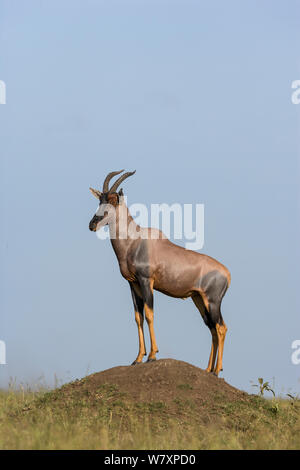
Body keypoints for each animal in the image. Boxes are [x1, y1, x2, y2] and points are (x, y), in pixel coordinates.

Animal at [88, 171, 231, 376]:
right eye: (100, 199)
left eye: (114, 200)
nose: (92, 224)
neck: (135, 240)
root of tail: (227, 273)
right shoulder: (133, 284)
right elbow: (138, 317)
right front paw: (138, 358)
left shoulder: (146, 281)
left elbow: (149, 314)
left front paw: (152, 356)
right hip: (199, 299)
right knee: (212, 328)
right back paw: (208, 369)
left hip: (213, 301)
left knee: (221, 328)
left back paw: (217, 371)